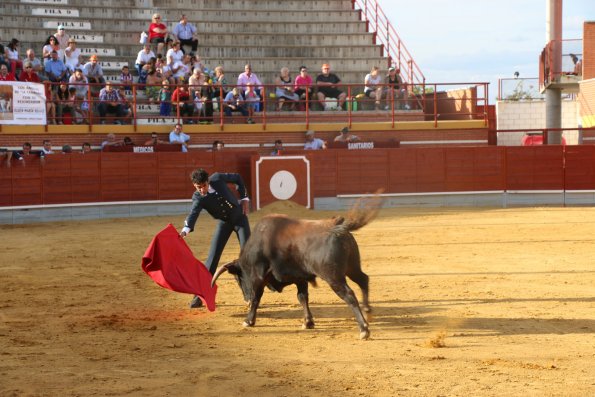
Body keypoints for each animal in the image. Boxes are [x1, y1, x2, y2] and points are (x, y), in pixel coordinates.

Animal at [213, 196, 382, 338]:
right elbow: (302, 297)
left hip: (333, 277)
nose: (245, 300)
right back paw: (368, 312)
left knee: (350, 294)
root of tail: (339, 226)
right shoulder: (301, 278)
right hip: (352, 267)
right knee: (363, 280)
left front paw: (248, 321)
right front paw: (308, 322)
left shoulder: (258, 277)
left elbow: (257, 297)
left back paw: (364, 329)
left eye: (238, 278)